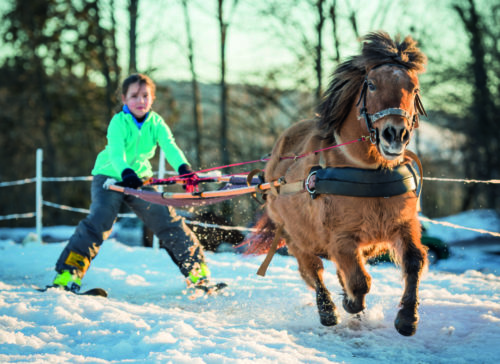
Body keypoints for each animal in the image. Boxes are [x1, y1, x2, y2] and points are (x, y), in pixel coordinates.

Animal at [252, 32, 428, 336]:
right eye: (372, 84)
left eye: (413, 87)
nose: (395, 134)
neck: (369, 171)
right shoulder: (341, 238)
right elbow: (359, 281)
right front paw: (350, 302)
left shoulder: (403, 225)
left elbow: (414, 260)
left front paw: (407, 317)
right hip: (295, 237)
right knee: (313, 270)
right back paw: (328, 311)